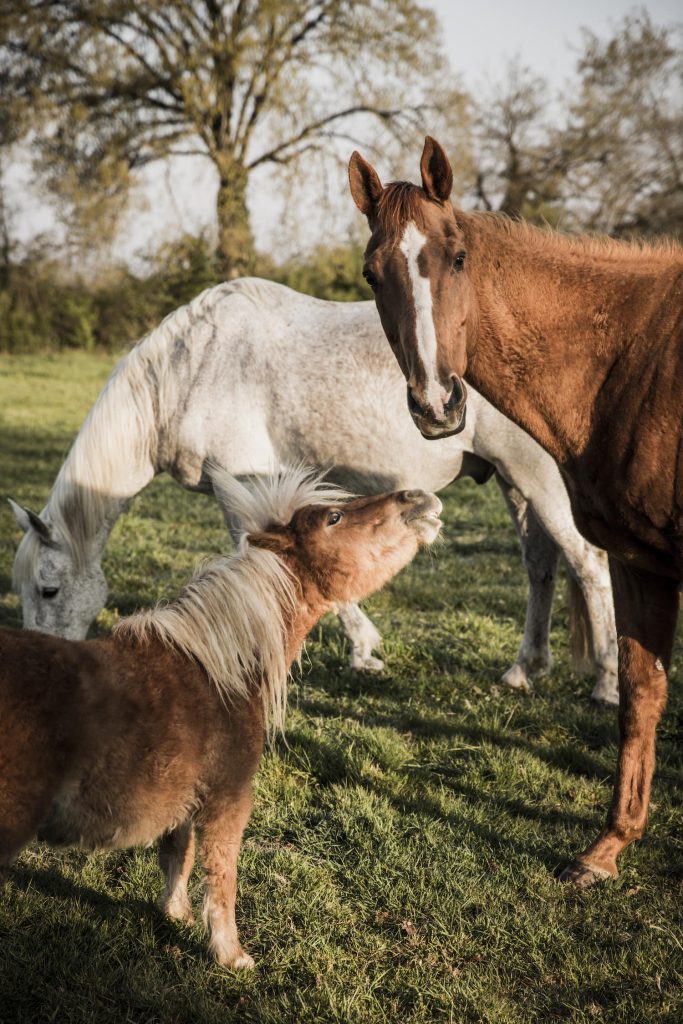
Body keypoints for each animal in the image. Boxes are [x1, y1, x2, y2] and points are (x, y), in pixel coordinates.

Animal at [0, 466, 443, 968]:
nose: (418, 498)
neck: (215, 671)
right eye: (334, 517)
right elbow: (222, 873)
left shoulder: (184, 803)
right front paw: (231, 953)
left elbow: (178, 855)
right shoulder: (228, 800)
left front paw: (175, 914)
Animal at [8, 278, 617, 701]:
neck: (188, 372)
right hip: (513, 480)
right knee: (541, 567)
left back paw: (607, 685)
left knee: (587, 564)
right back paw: (523, 670)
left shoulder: (241, 487)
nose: (46, 672)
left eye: (48, 591)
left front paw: (360, 651)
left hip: (535, 476)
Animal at [348, 136, 682, 885]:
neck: (627, 360)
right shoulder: (640, 562)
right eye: (371, 275)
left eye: (458, 257)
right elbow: (640, 694)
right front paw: (609, 846)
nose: (437, 403)